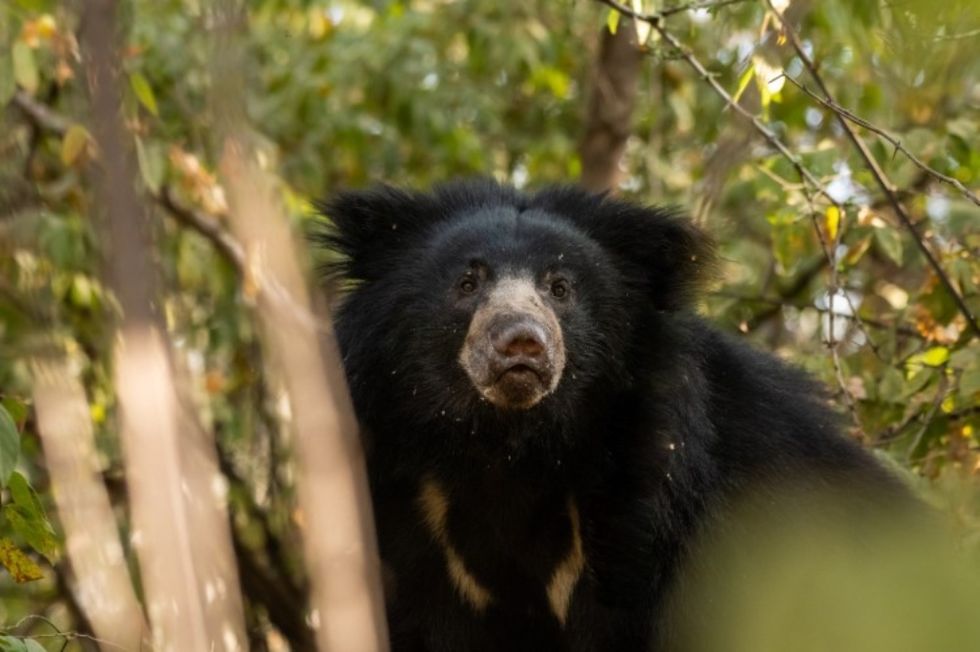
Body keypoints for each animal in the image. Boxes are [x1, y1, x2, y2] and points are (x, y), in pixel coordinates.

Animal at [318, 178, 908, 652]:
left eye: (560, 287)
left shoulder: (657, 502)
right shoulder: (408, 505)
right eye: (468, 283)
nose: (521, 343)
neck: (510, 447)